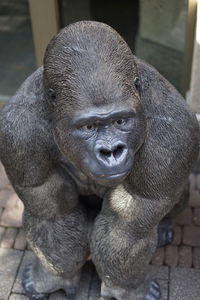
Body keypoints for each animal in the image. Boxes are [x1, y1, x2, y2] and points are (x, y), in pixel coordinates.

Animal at [0, 21, 198, 300]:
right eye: (89, 126)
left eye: (120, 121)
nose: (111, 151)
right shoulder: (16, 133)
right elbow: (52, 215)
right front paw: (53, 278)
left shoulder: (174, 139)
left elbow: (126, 228)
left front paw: (125, 289)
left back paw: (165, 226)